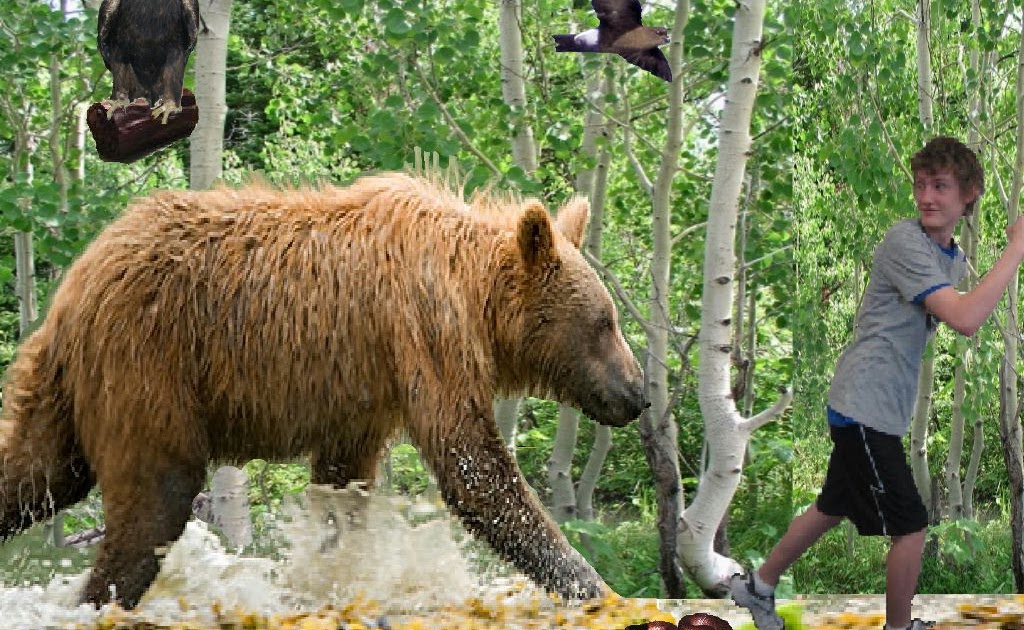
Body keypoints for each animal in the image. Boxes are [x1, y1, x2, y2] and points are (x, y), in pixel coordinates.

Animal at [0, 171, 647, 609]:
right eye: (605, 322)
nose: (637, 393)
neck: (476, 296)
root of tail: (75, 285)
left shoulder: (364, 393)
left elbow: (341, 484)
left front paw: (325, 570)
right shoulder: (426, 333)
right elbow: (473, 466)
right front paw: (592, 585)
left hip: (71, 388)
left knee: (36, 471)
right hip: (148, 364)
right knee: (156, 496)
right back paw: (101, 595)